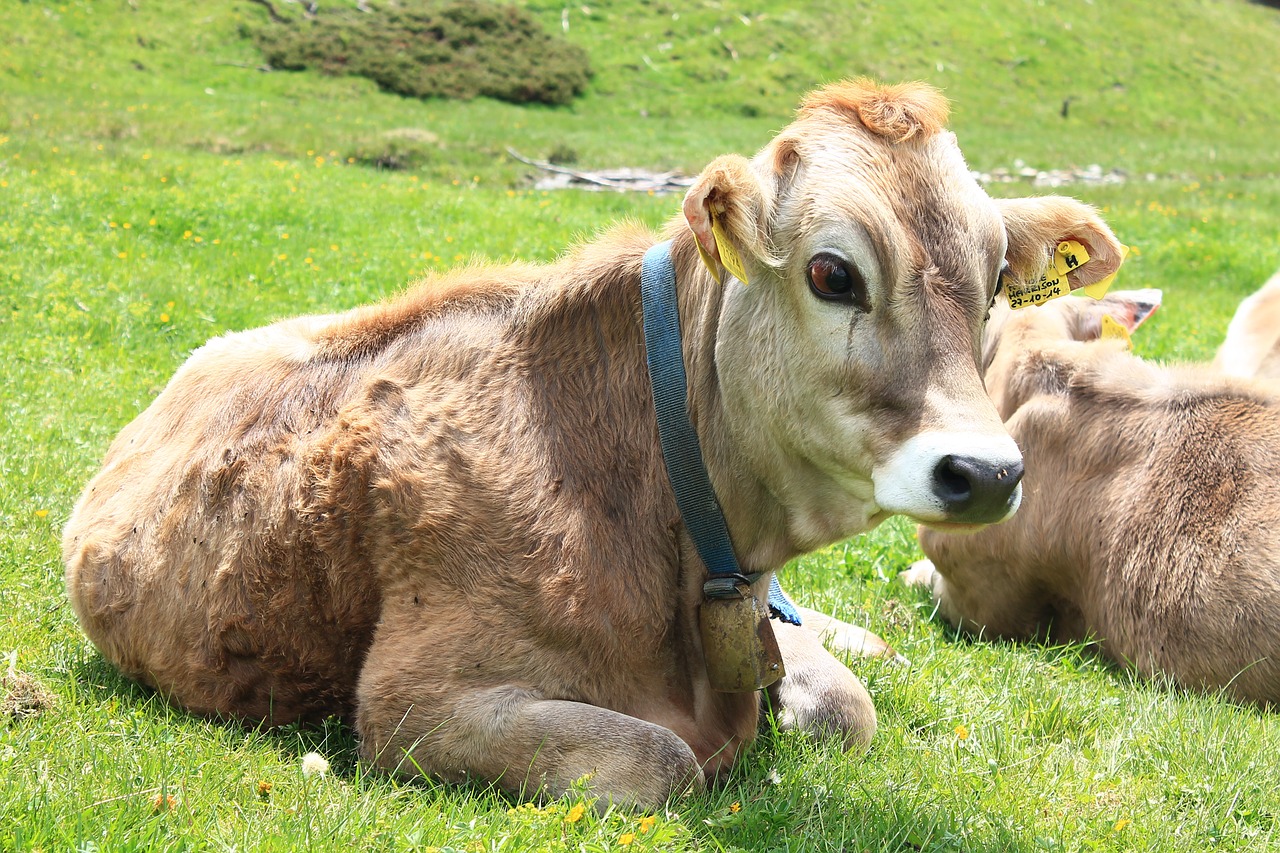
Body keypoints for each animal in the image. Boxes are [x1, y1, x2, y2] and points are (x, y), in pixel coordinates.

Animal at [64, 79, 1126, 804]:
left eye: (996, 284)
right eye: (833, 272)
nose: (985, 472)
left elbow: (844, 708)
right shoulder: (411, 704)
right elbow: (662, 759)